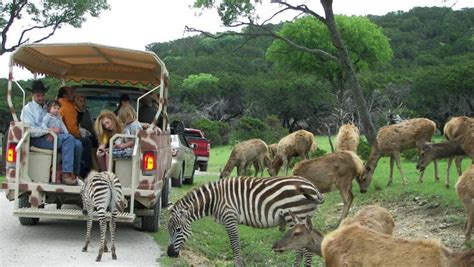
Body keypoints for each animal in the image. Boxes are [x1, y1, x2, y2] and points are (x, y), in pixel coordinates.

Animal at [165, 177, 324, 266]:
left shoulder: (230, 218)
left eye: (178, 230)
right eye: (169, 230)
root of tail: (313, 187)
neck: (214, 200)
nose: (170, 254)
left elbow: (234, 244)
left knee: (305, 249)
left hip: (297, 215)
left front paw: (238, 264)